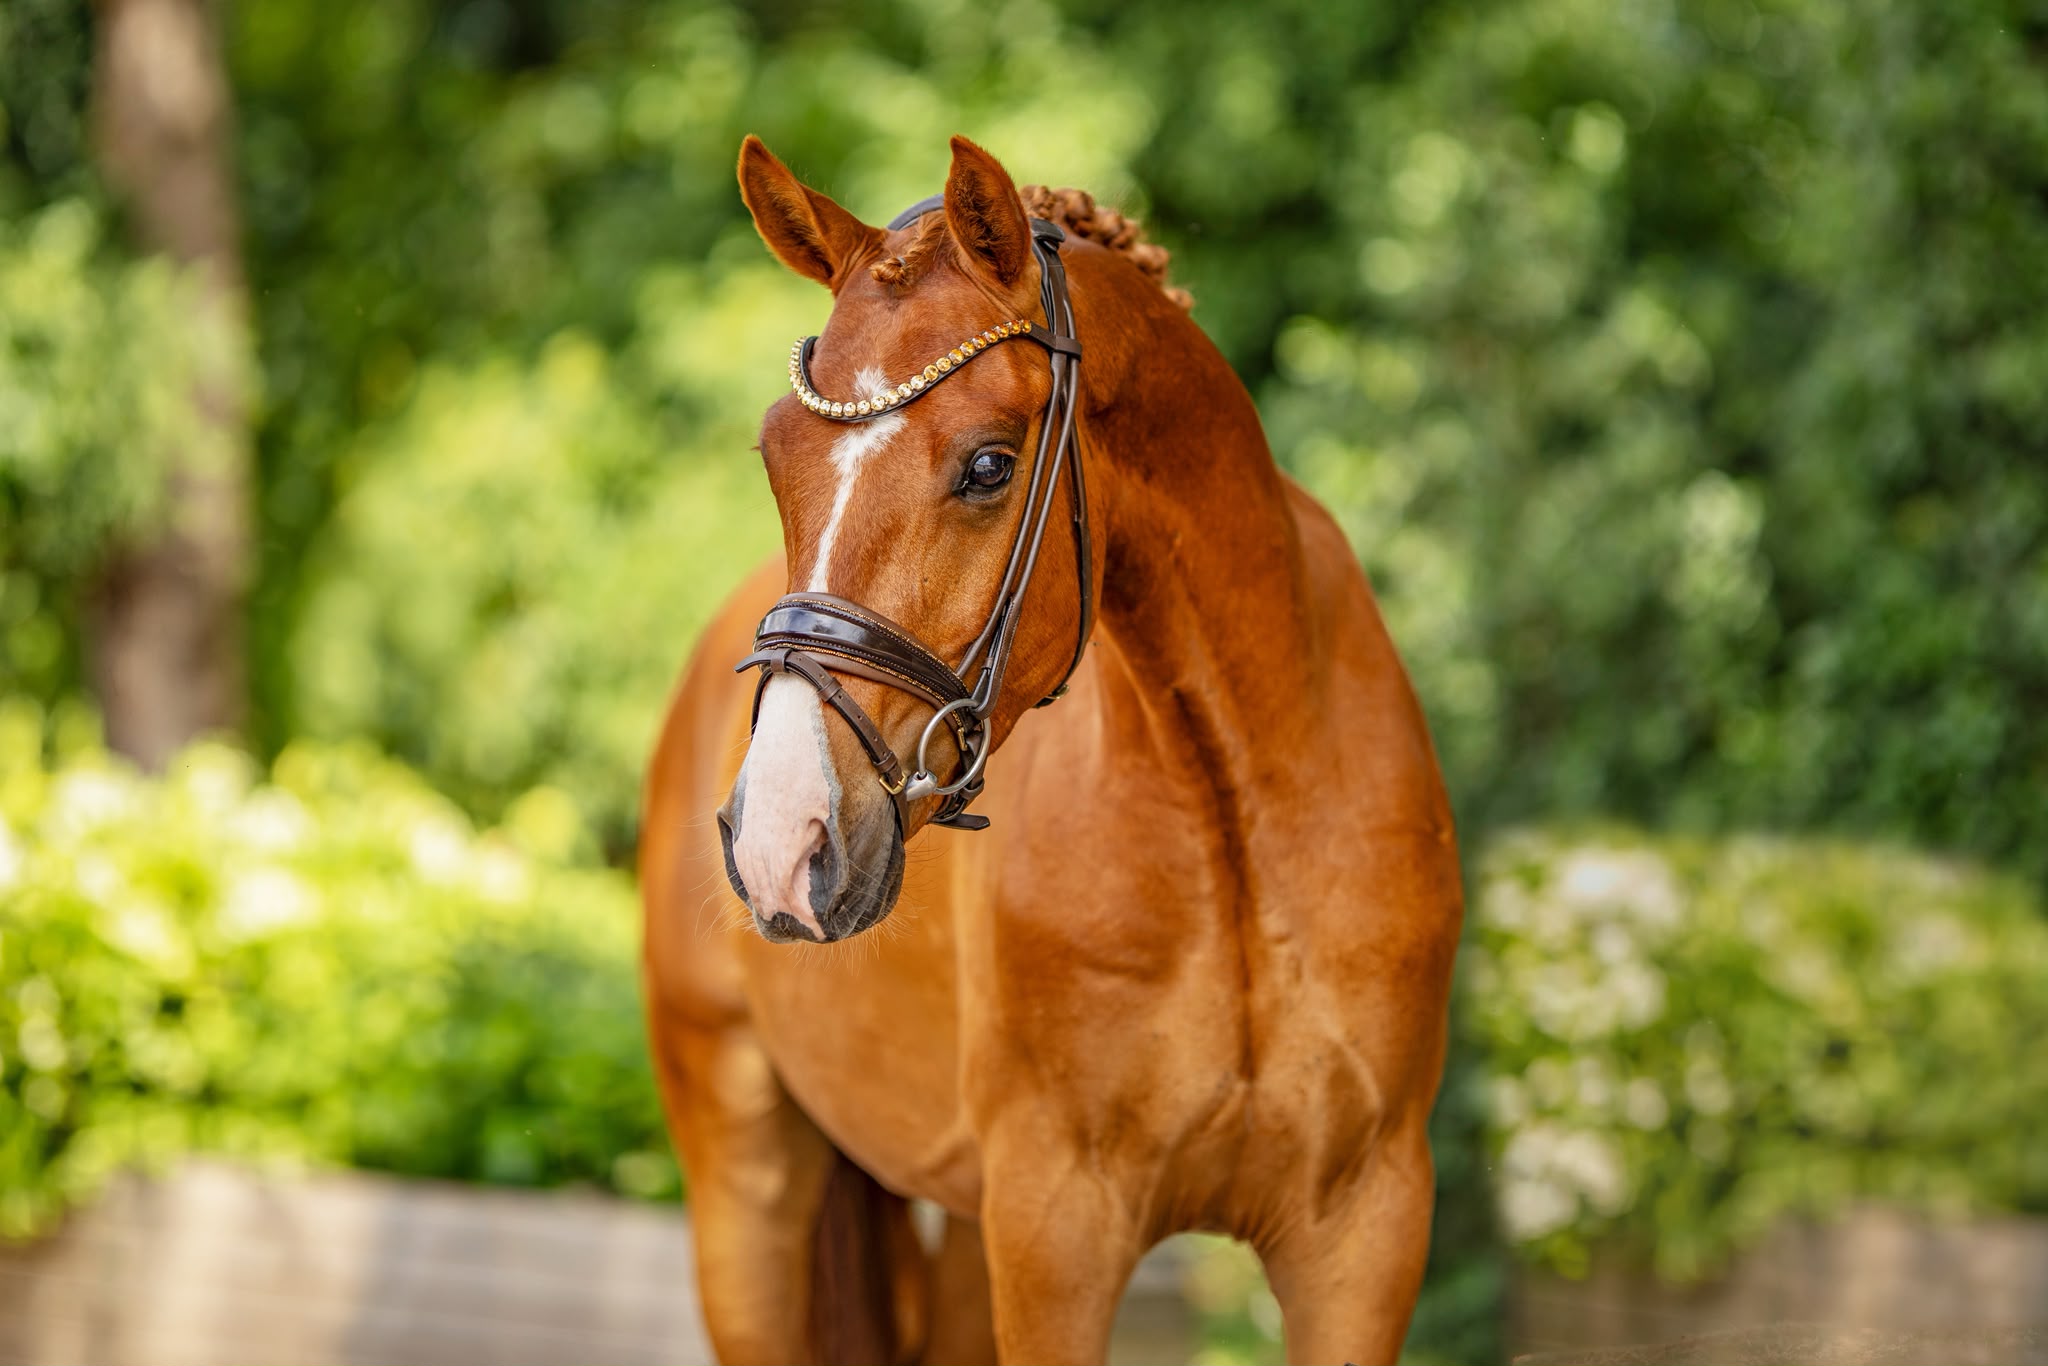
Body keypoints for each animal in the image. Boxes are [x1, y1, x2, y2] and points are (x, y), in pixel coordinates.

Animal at [640, 134, 1462, 1366]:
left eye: (987, 465)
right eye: (774, 457)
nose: (781, 836)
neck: (1236, 814)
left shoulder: (1363, 1232)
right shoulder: (1054, 1228)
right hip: (748, 1192)